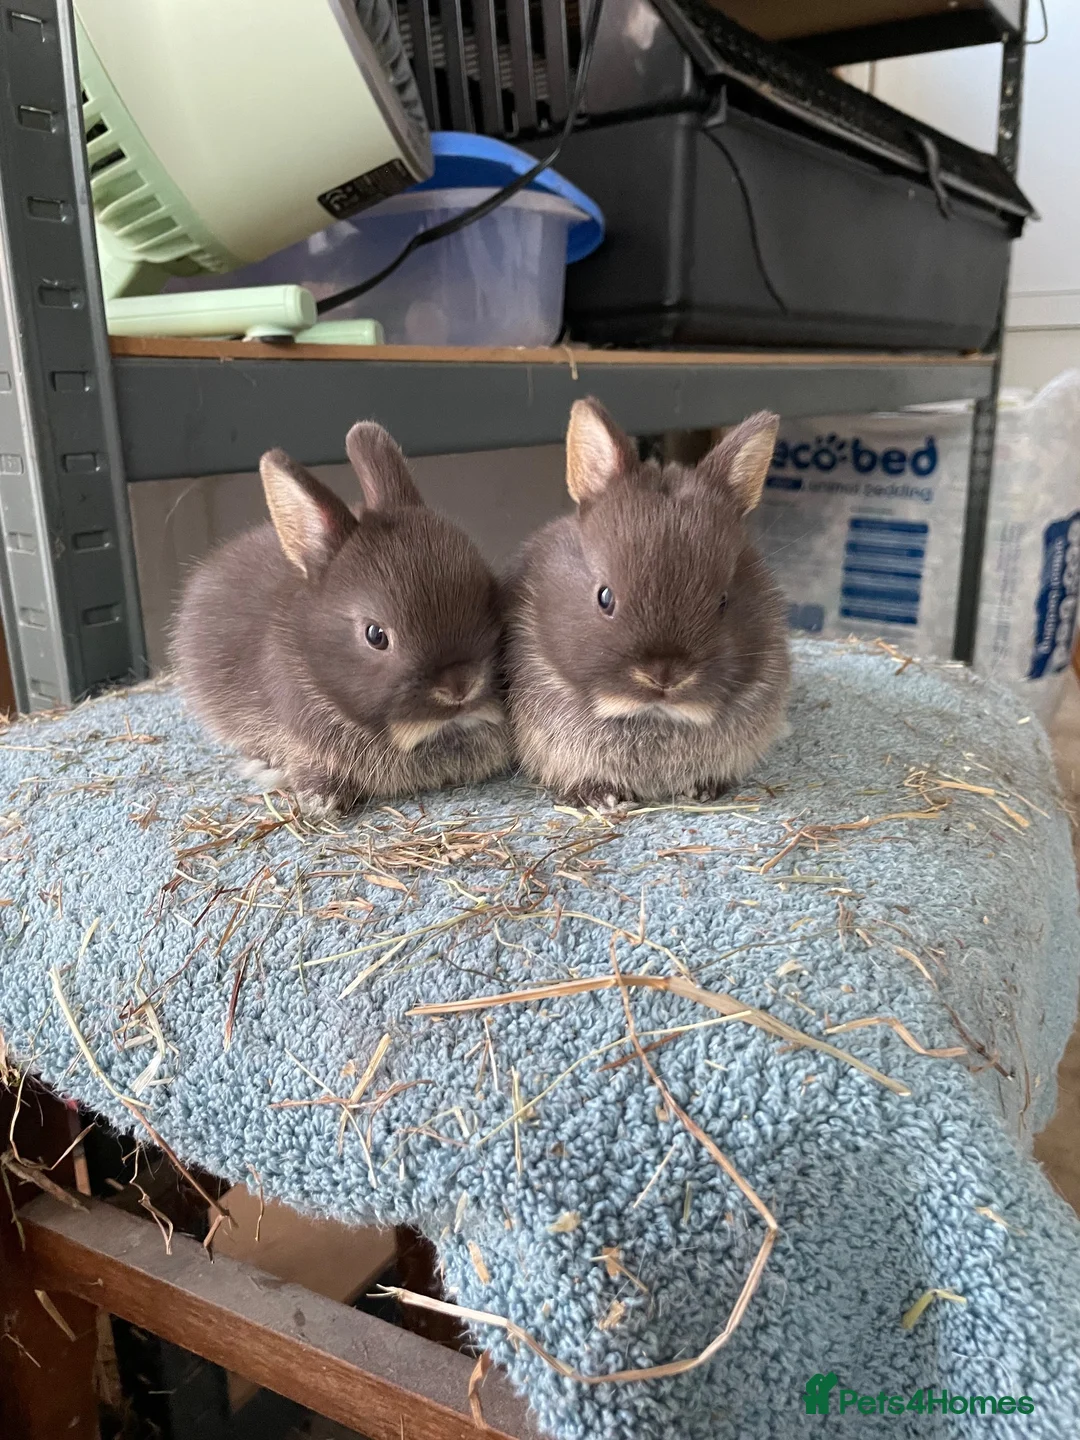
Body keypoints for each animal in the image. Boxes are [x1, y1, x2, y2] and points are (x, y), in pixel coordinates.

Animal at [503, 398, 790, 808]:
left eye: (723, 601)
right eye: (604, 596)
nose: (664, 677)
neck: (654, 715)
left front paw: (702, 790)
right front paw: (602, 797)